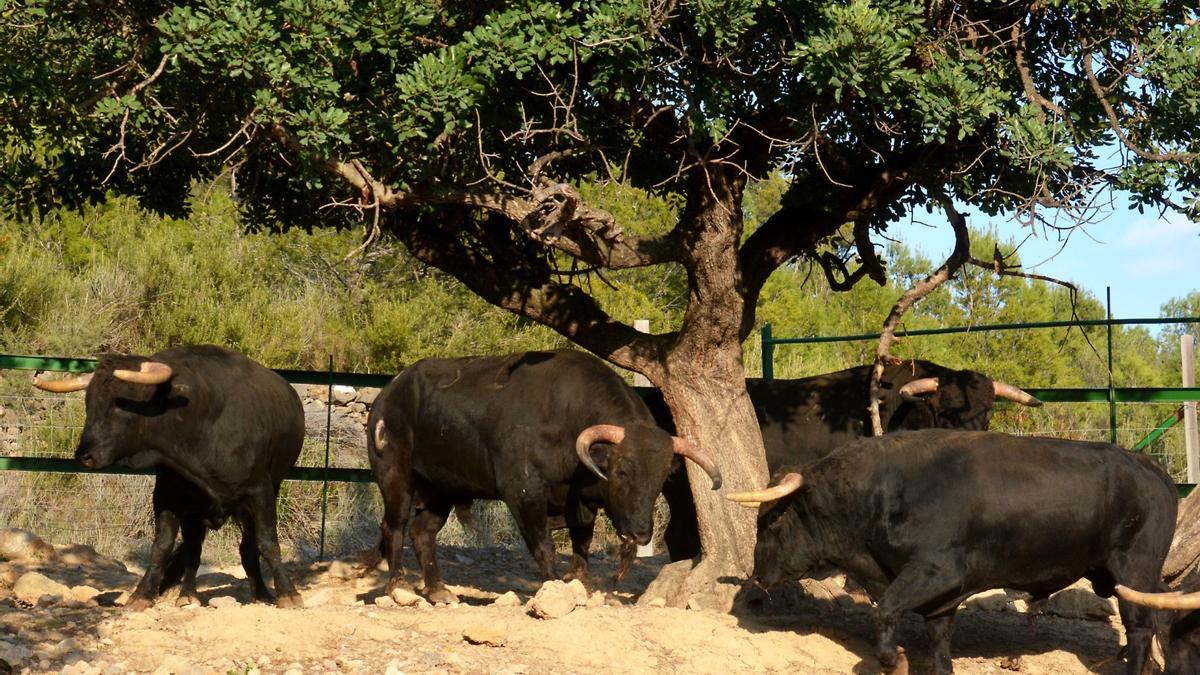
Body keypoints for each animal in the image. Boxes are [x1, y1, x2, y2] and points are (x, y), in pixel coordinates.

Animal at [32, 343, 307, 607]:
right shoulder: (168, 495)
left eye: (122, 404)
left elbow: (267, 543)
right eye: (90, 404)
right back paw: (188, 594)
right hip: (196, 510)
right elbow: (162, 547)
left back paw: (260, 592)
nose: (85, 455)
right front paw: (142, 594)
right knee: (195, 548)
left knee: (247, 547)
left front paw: (288, 593)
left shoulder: (260, 492)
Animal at [724, 427, 1176, 672]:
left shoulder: (934, 571)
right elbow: (939, 646)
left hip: (1134, 572)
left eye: (773, 521)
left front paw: (892, 660)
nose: (757, 573)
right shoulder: (940, 598)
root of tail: (1151, 469)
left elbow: (885, 611)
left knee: (1141, 628)